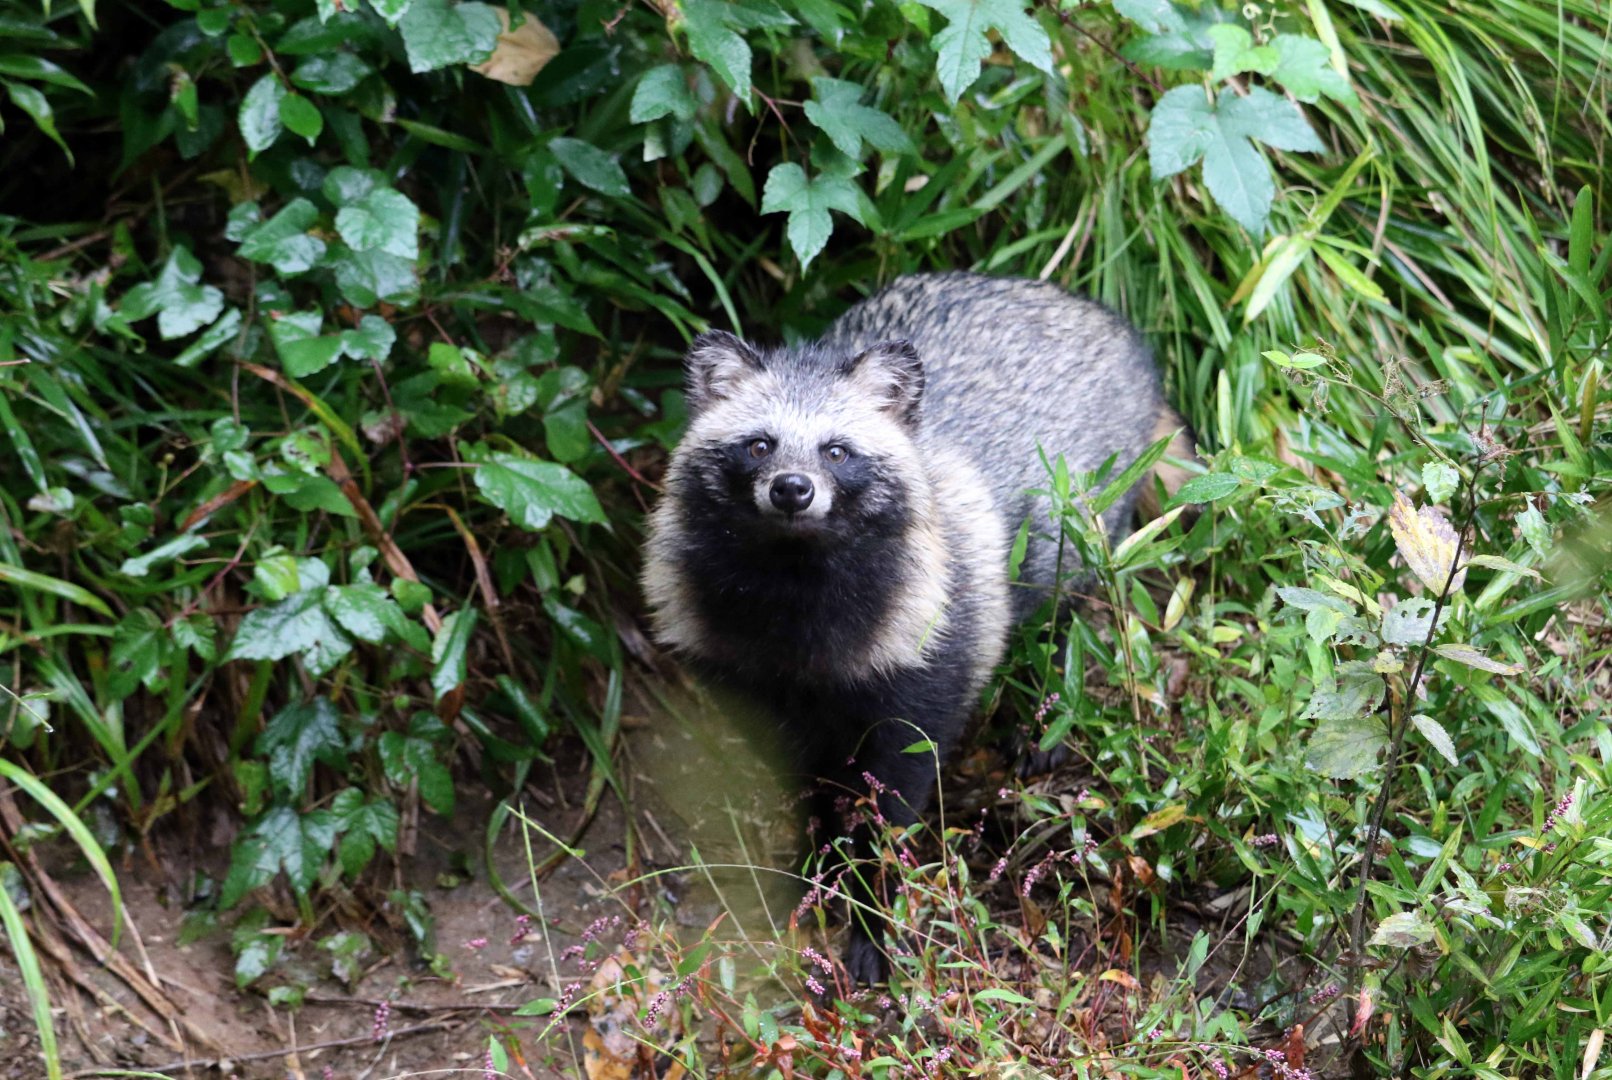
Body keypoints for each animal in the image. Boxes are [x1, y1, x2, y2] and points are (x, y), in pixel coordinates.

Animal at [640, 271, 1190, 984]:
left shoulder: (928, 652)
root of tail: (1091, 309)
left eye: (837, 451)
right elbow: (806, 786)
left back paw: (1048, 702)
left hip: (1087, 501)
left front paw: (872, 916)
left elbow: (894, 801)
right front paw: (816, 872)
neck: (795, 586)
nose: (791, 489)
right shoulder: (748, 672)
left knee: (1067, 598)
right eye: (758, 444)